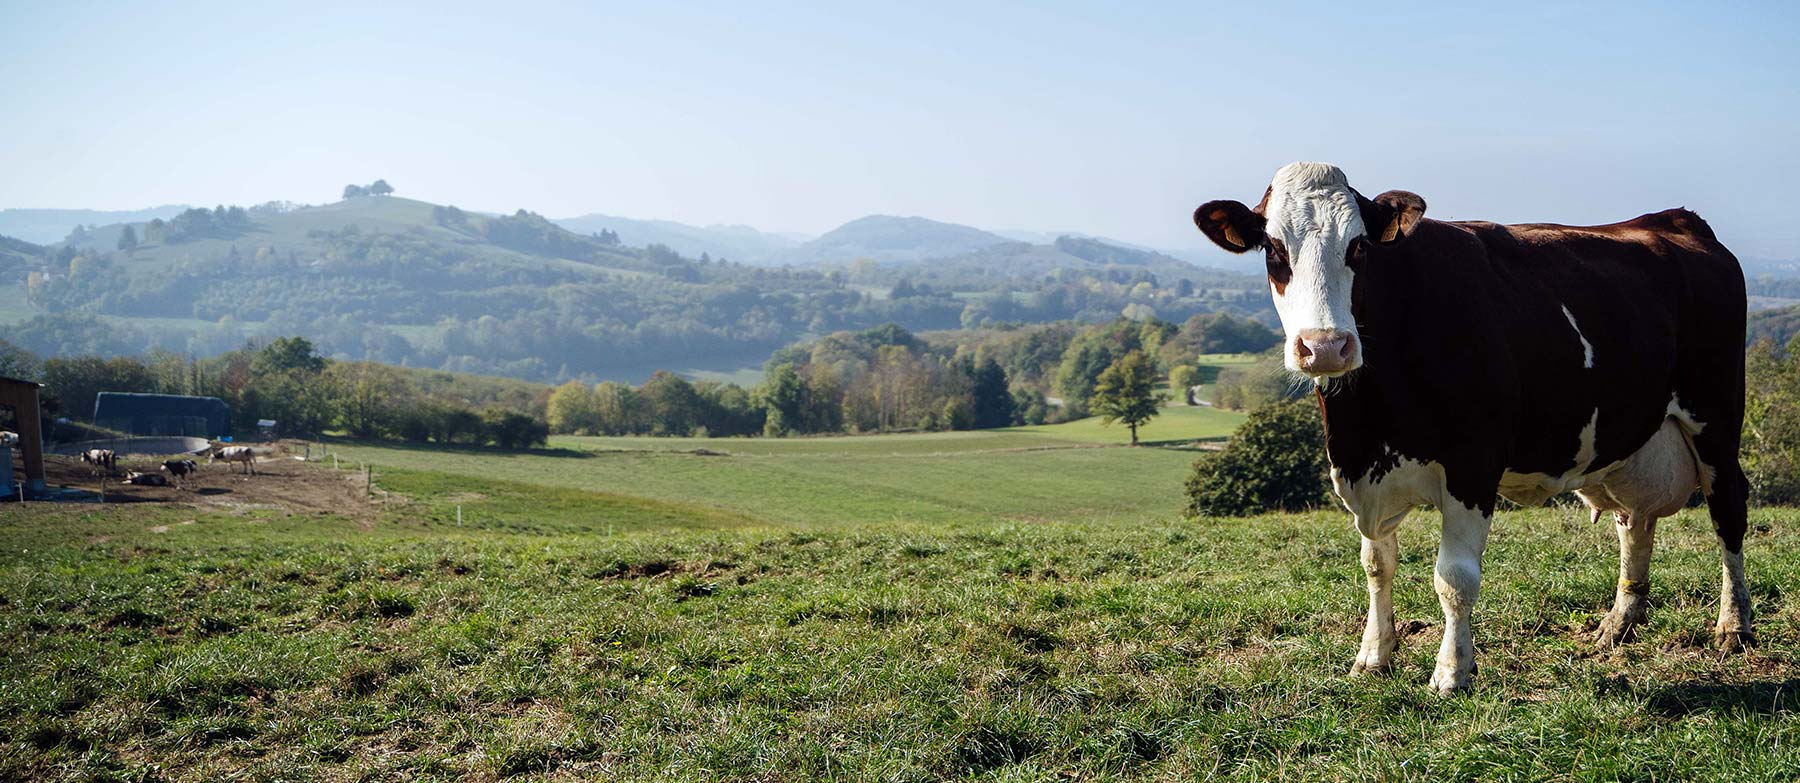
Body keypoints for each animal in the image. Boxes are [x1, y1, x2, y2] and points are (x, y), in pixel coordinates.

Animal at [1188, 162, 1749, 694]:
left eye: (1359, 246)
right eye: (1273, 248)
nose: (1325, 346)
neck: (1370, 420)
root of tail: (1673, 220)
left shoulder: (1474, 463)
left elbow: (1454, 578)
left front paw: (1452, 672)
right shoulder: (1360, 470)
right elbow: (1377, 564)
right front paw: (1374, 656)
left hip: (1716, 416)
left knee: (1729, 510)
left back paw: (1734, 626)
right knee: (1633, 521)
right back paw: (1618, 623)